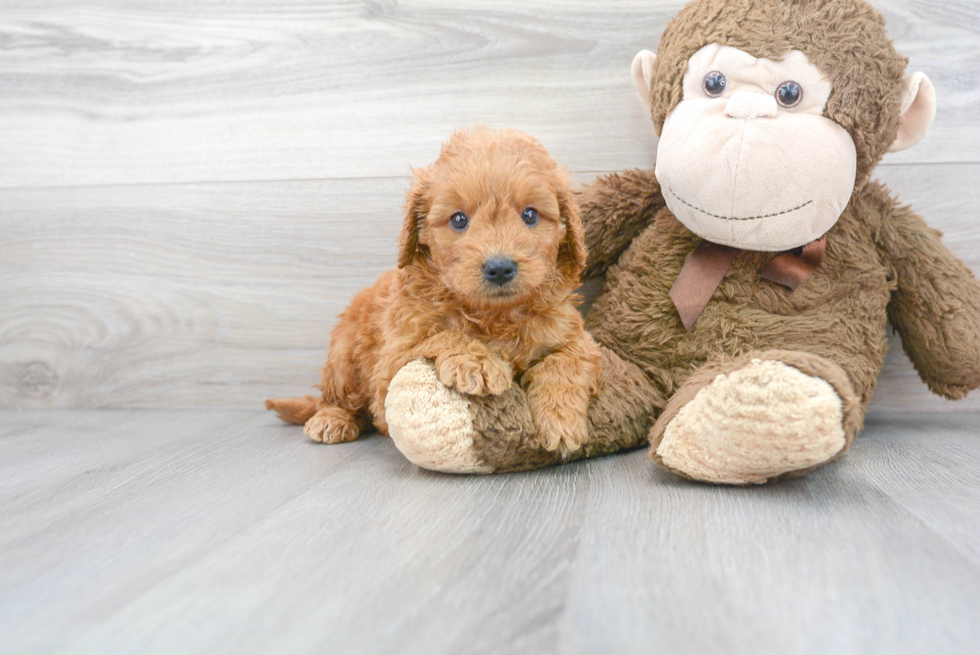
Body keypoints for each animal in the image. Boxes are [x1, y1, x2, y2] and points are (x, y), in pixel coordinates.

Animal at [268, 127, 604, 456]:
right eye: (458, 219)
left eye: (531, 215)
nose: (499, 268)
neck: (493, 317)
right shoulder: (390, 363)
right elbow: (442, 335)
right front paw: (478, 361)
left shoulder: (575, 338)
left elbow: (566, 362)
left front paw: (560, 419)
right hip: (343, 356)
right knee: (337, 398)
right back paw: (332, 418)